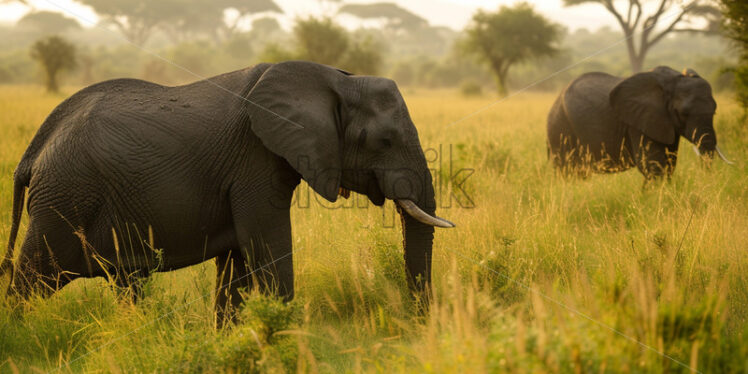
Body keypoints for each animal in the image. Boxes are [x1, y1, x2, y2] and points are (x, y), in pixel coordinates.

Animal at [0, 60, 456, 326]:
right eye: (384, 141)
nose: (420, 325)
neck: (335, 79)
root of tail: (35, 147)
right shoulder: (254, 161)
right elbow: (267, 250)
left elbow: (237, 266)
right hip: (63, 198)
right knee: (31, 279)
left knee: (126, 285)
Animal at [548, 65, 732, 180]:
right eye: (683, 113)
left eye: (715, 111)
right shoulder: (639, 123)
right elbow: (653, 165)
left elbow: (669, 164)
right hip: (560, 127)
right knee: (568, 170)